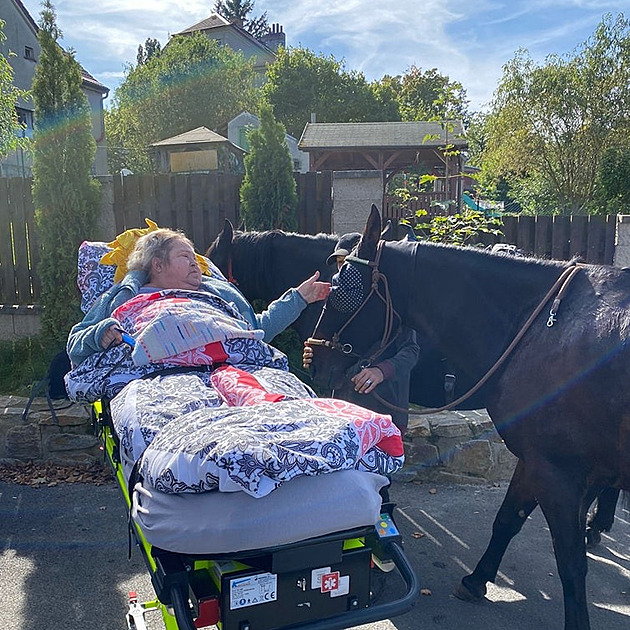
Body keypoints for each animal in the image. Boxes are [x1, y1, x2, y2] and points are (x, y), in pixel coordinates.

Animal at [312, 207, 630, 630]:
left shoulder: (557, 472)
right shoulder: (537, 462)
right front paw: (477, 579)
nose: (315, 359)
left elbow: (570, 562)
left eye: (339, 290)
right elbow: (508, 519)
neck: (542, 328)